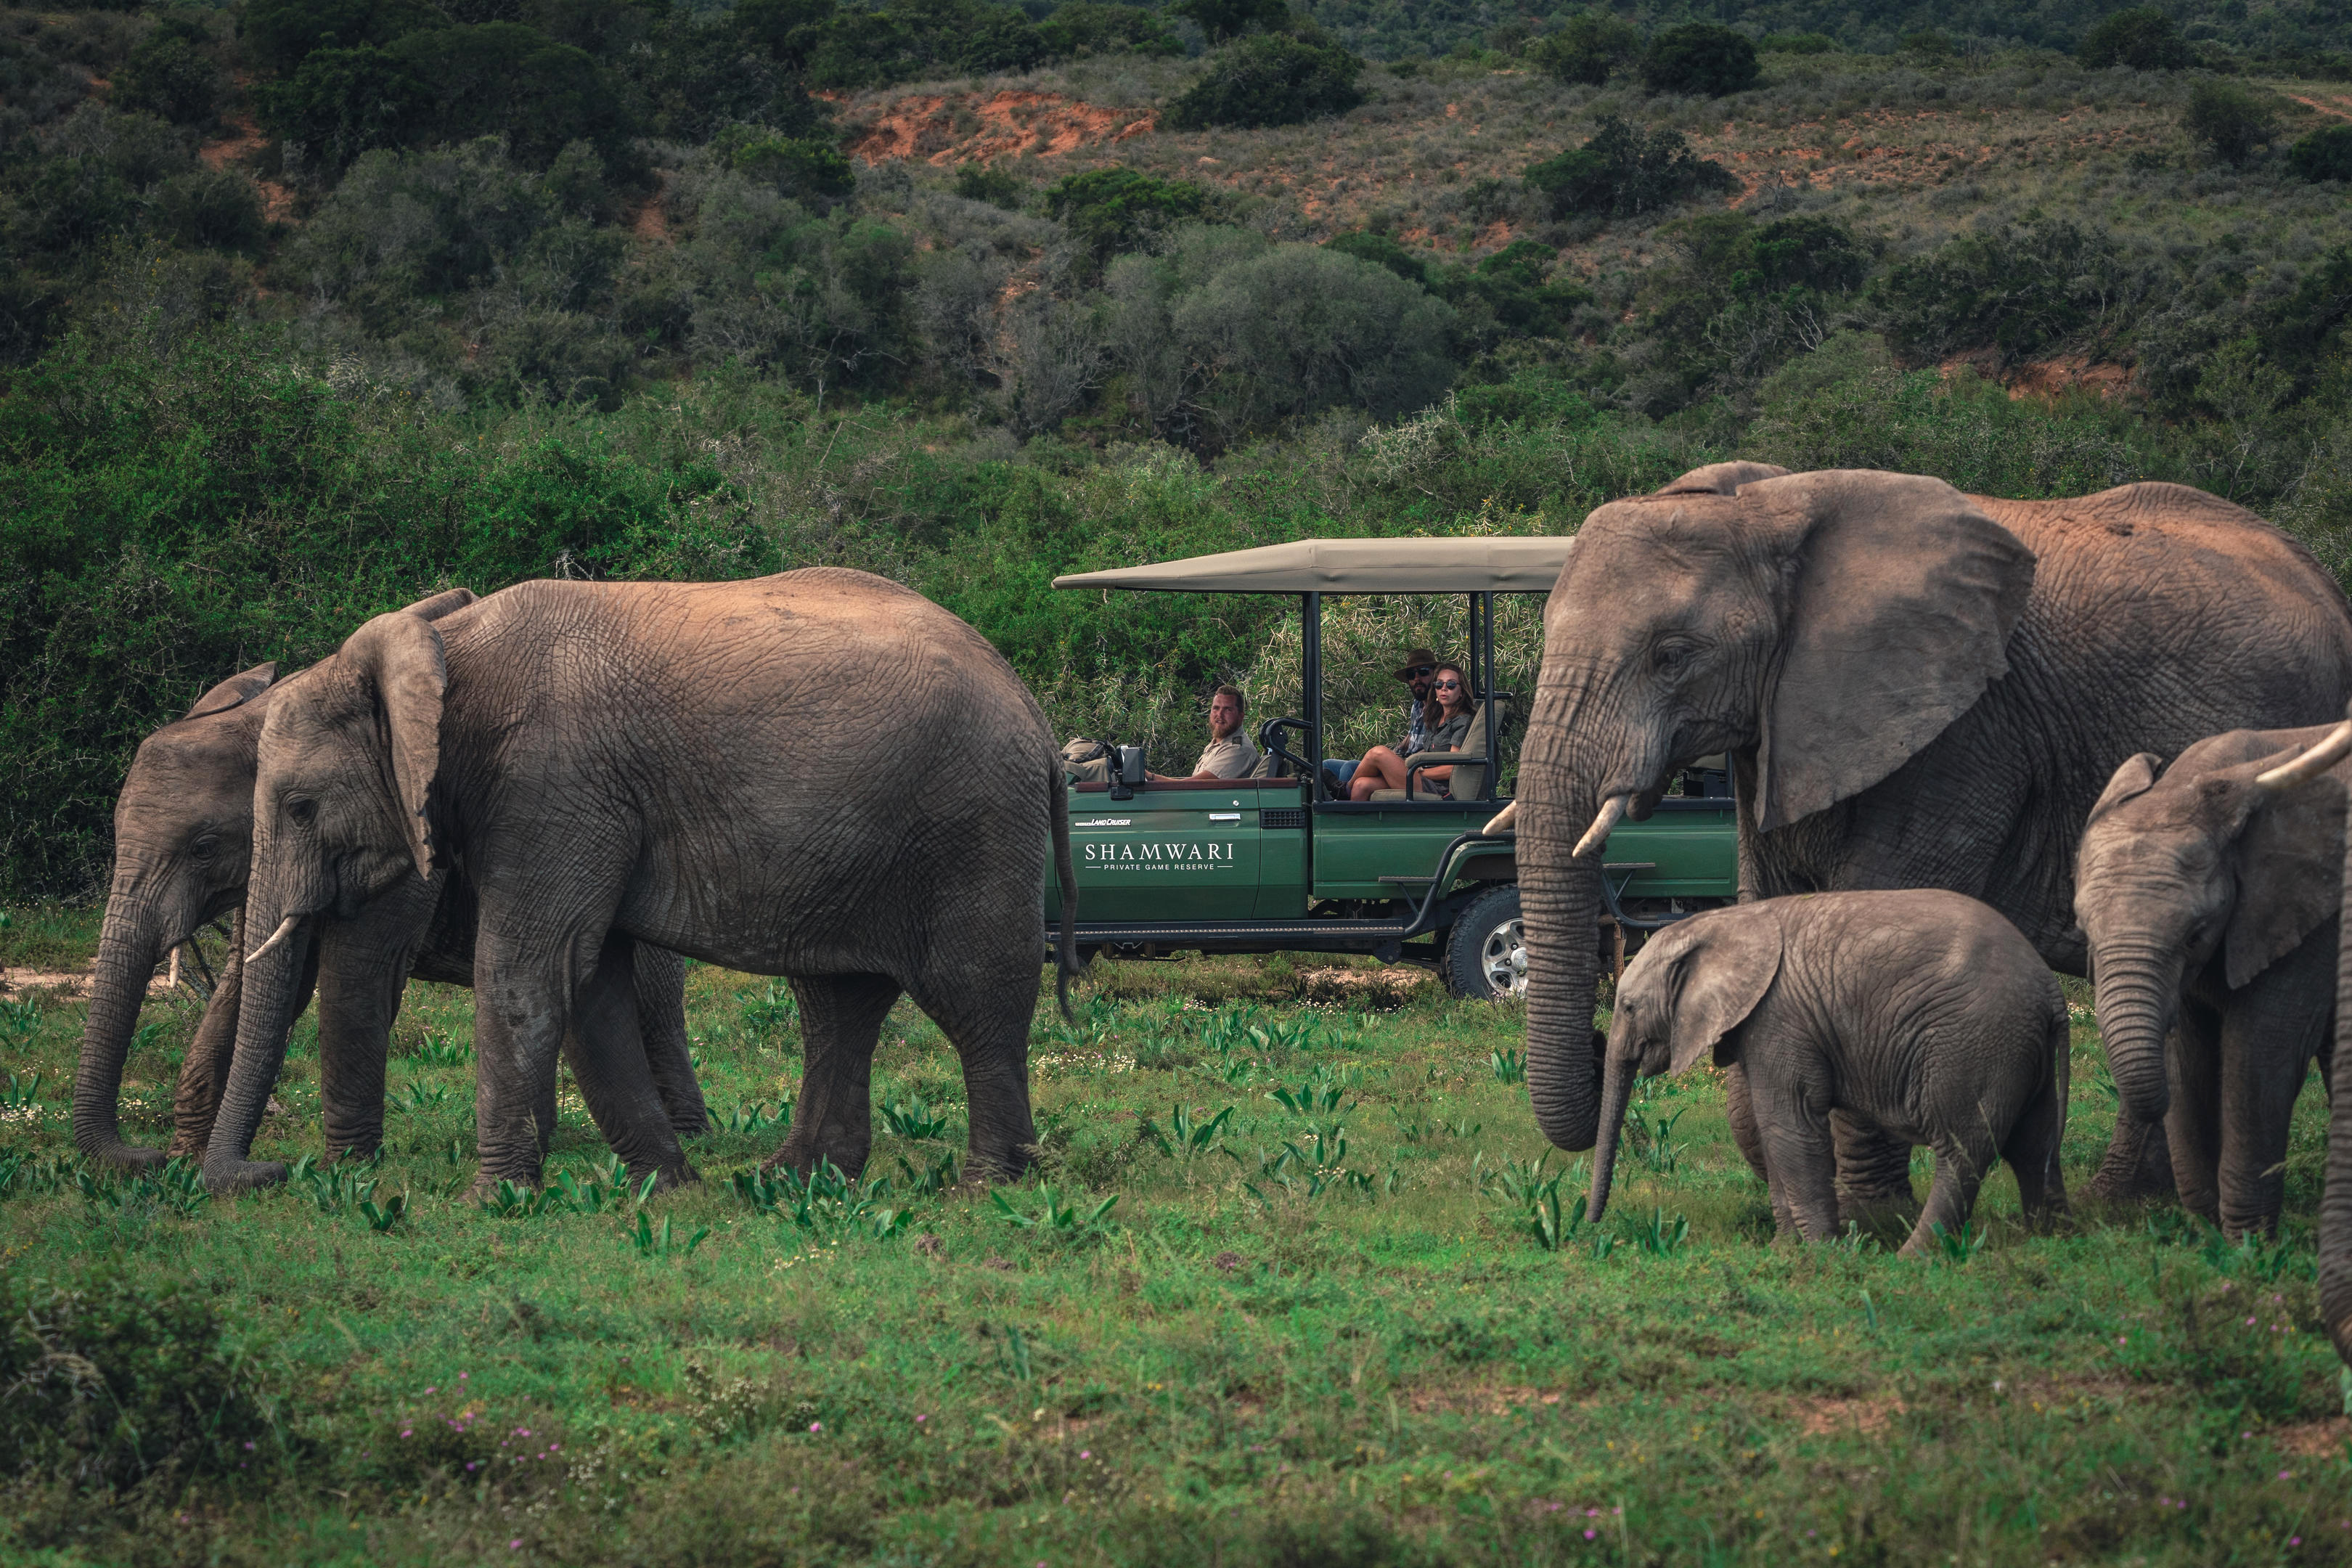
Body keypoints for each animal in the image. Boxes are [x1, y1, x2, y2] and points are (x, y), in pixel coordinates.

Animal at [70, 590, 709, 1176]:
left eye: (201, 848)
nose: (145, 1156)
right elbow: (254, 982)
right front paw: (188, 1160)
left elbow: (354, 973)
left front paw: (346, 1173)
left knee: (651, 1004)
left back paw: (690, 1136)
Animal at [204, 567, 1079, 1196]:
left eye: (301, 806)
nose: (267, 1173)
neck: (443, 650)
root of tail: (1031, 710)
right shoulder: (578, 803)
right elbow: (593, 983)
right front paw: (669, 1189)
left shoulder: (553, 785)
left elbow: (532, 970)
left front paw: (494, 1201)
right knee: (837, 1003)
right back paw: (793, 1180)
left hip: (970, 825)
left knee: (974, 994)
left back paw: (983, 1187)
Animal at [1587, 889, 2070, 1255]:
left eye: (1628, 1008)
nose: (1591, 1227)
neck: (1721, 923)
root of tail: (2051, 991)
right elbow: (1771, 1128)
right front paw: (1784, 1251)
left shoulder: (1779, 1019)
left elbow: (1789, 1125)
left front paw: (1825, 1254)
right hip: (2017, 1048)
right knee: (2035, 1145)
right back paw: (2045, 1243)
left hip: (1975, 1043)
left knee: (1961, 1151)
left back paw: (1910, 1257)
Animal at [2075, 726, 2344, 1239]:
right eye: (2083, 930)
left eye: (2194, 935)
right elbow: (2189, 1055)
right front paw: (2207, 1233)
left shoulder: (2308, 919)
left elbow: (2261, 1050)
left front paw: (2248, 1243)